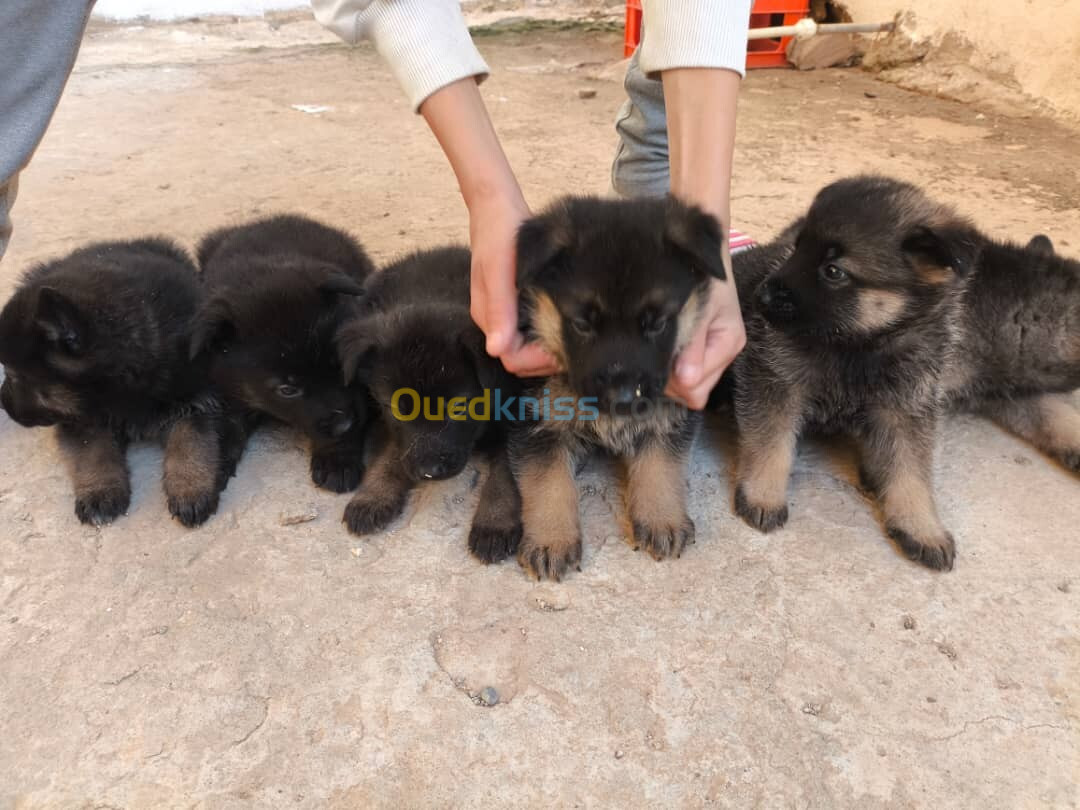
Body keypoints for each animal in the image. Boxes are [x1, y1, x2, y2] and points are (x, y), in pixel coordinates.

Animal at [0, 237, 238, 529]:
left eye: (13, 375)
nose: (3, 404)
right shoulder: (83, 420)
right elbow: (93, 452)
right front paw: (100, 491)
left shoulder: (198, 399)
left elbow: (192, 441)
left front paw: (190, 487)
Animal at [336, 246, 522, 565]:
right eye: (397, 408)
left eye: (459, 407)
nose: (430, 471)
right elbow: (391, 452)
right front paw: (373, 494)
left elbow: (506, 469)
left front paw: (495, 521)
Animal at [507, 193, 730, 578]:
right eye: (582, 323)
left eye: (657, 323)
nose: (623, 399)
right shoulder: (536, 422)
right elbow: (548, 481)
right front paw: (551, 539)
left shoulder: (670, 410)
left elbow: (661, 463)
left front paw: (661, 517)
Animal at [725, 176, 1080, 570]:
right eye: (797, 250)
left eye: (833, 271)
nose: (760, 297)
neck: (859, 344)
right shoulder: (776, 380)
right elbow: (772, 443)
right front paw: (763, 493)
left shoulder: (913, 404)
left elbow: (913, 469)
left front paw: (921, 525)